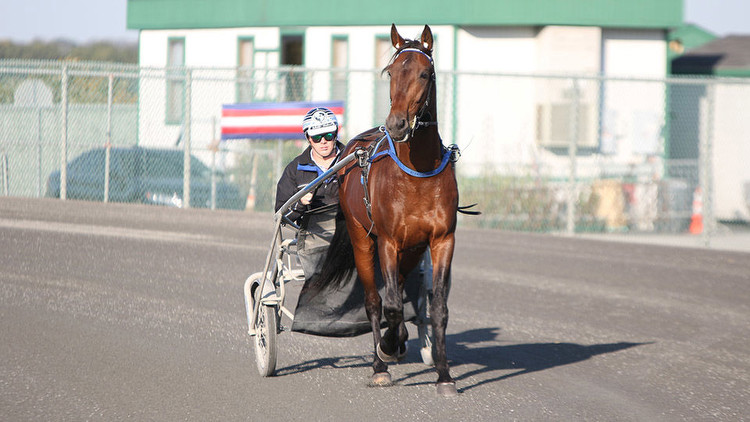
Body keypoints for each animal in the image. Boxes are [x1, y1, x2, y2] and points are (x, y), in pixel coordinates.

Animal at [314, 23, 462, 396]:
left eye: (425, 73)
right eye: (391, 72)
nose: (396, 124)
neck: (417, 173)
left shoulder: (441, 240)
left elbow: (439, 307)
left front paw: (444, 375)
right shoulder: (387, 241)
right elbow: (391, 305)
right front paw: (388, 348)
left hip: (412, 249)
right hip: (362, 239)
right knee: (373, 301)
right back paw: (381, 363)